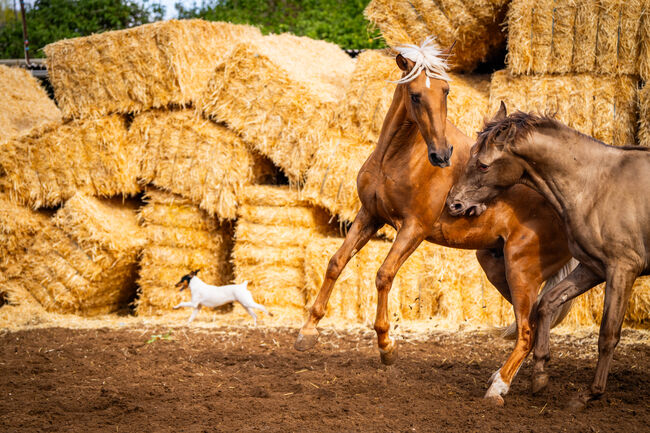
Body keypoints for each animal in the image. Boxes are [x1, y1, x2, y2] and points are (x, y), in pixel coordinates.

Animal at [294, 38, 572, 404]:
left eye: (446, 91)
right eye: (415, 95)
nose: (442, 155)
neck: (395, 159)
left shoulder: (413, 228)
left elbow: (384, 275)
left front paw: (386, 346)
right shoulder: (369, 216)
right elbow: (335, 263)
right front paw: (307, 332)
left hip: (521, 272)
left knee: (527, 329)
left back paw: (499, 387)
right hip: (499, 269)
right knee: (538, 319)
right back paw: (529, 377)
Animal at [446, 102, 648, 408]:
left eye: (483, 164)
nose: (453, 204)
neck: (595, 185)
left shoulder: (622, 269)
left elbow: (608, 334)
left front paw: (589, 393)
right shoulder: (594, 268)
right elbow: (547, 303)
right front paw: (540, 374)